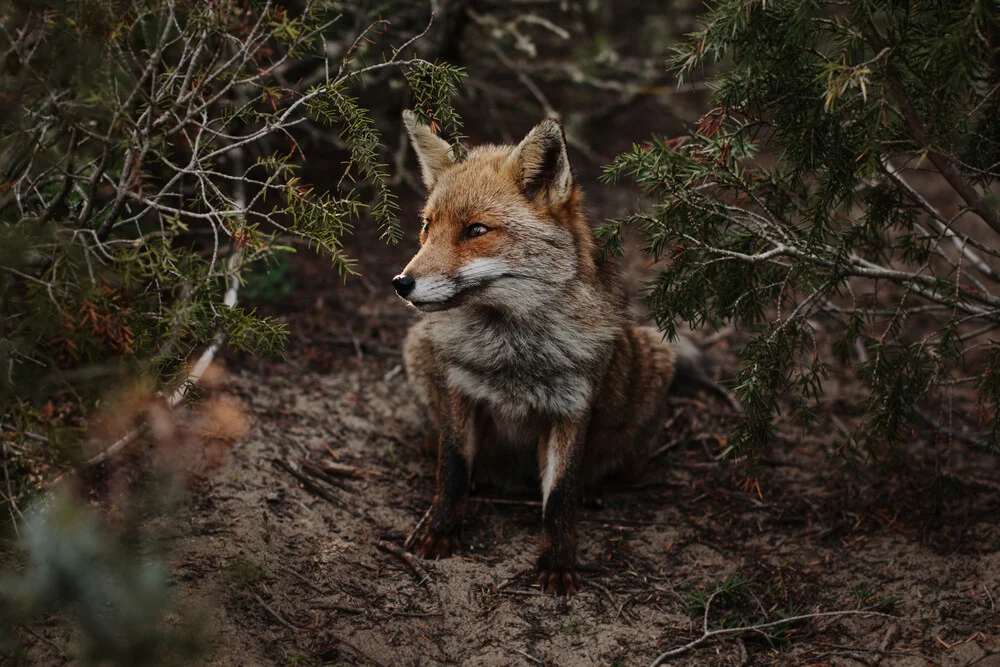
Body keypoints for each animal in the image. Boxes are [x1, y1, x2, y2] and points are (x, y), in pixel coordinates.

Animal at [392, 109, 736, 596]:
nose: (401, 283)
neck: (511, 354)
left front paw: (558, 563)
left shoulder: (570, 410)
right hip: (418, 349)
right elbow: (453, 470)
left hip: (651, 368)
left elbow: (559, 496)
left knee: (619, 464)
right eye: (427, 226)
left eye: (476, 230)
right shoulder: (460, 393)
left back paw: (596, 485)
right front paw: (440, 532)